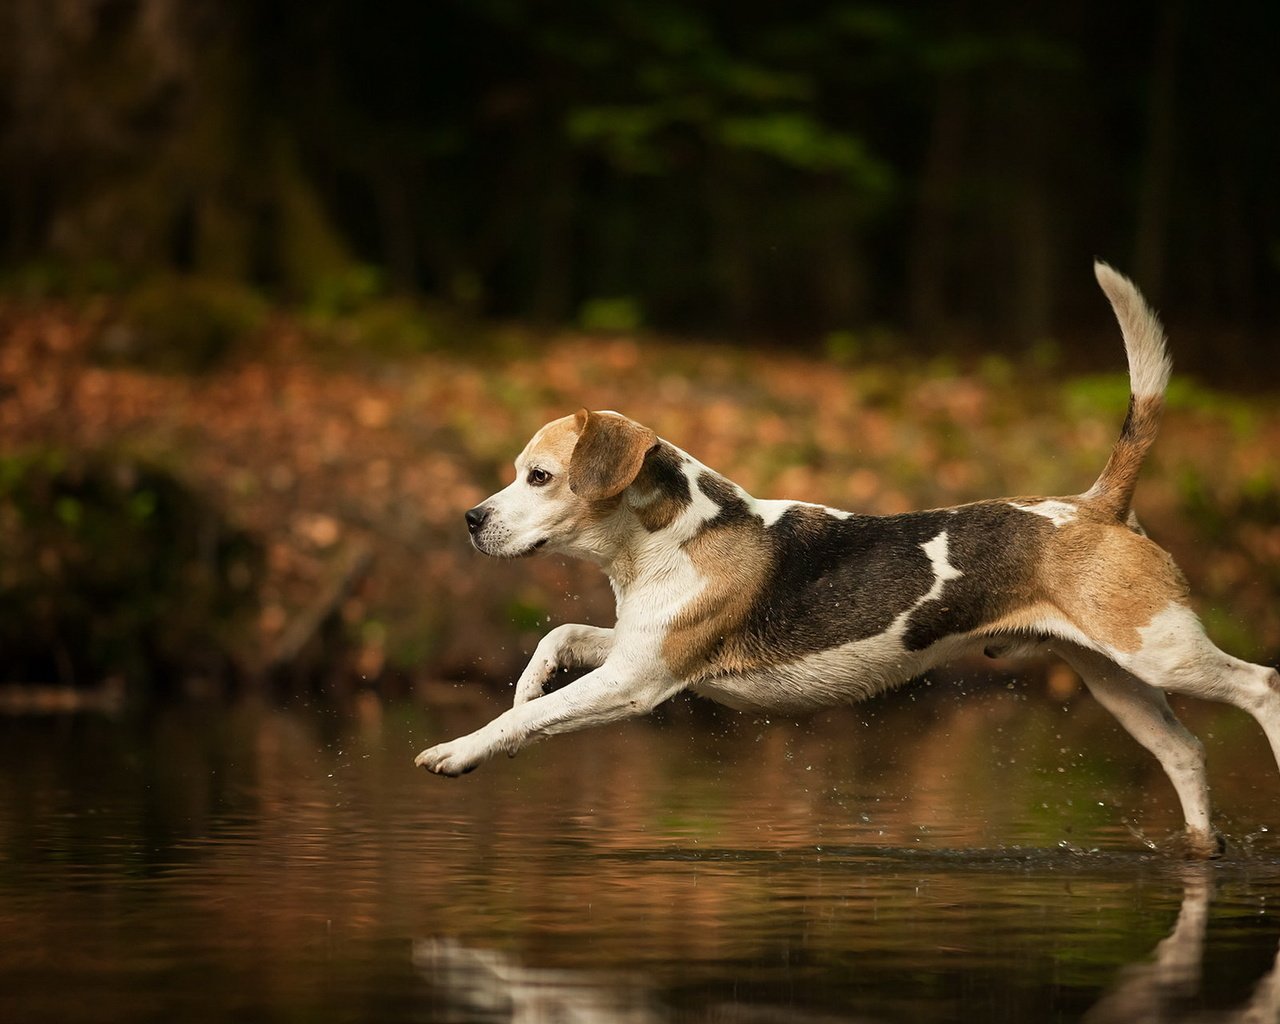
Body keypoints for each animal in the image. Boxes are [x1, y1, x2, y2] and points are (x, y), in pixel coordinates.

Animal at [414, 263, 1274, 855]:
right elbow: (556, 642)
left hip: (1162, 651)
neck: (670, 536)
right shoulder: (633, 647)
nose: (471, 520)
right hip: (1115, 677)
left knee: (1261, 685)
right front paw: (528, 681)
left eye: (539, 476)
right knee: (1185, 750)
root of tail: (1097, 504)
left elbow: (526, 721)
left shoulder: (637, 682)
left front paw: (458, 751)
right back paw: (1203, 849)